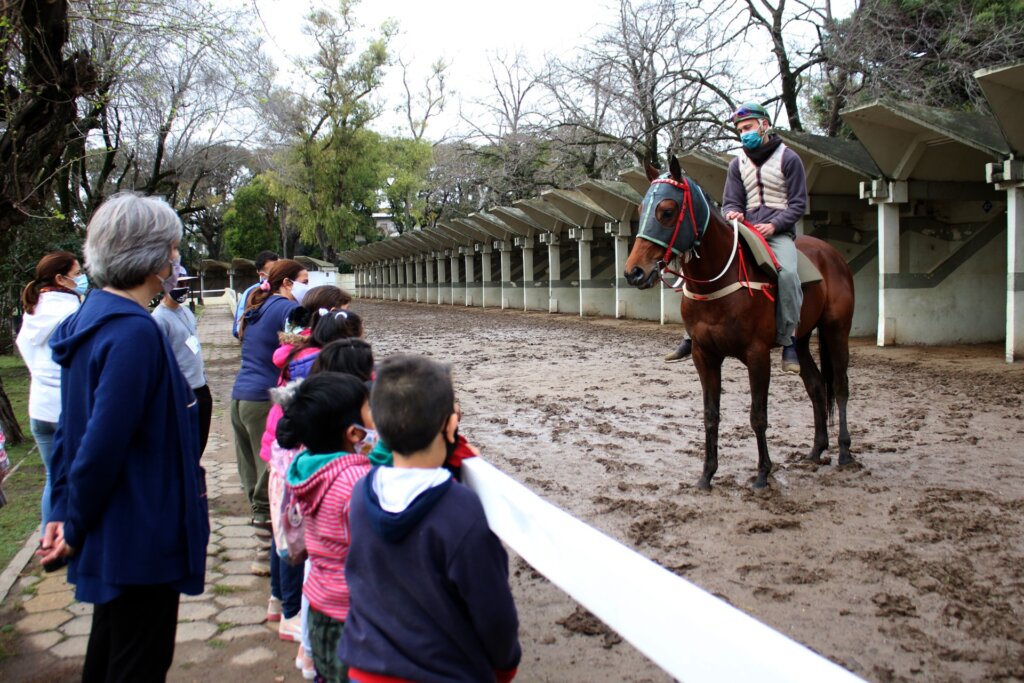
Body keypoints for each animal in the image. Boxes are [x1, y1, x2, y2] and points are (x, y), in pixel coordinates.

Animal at [622, 157, 856, 489]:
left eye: (666, 211)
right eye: (642, 209)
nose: (634, 272)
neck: (720, 279)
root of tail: (831, 254)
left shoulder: (757, 355)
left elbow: (758, 415)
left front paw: (762, 473)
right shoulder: (704, 356)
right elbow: (710, 414)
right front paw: (707, 474)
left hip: (836, 330)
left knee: (839, 386)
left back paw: (845, 452)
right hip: (800, 340)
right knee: (815, 386)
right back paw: (816, 449)